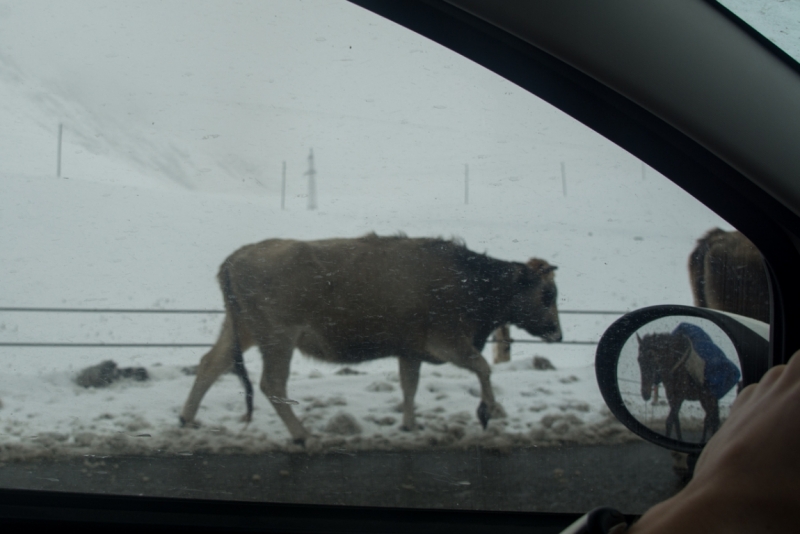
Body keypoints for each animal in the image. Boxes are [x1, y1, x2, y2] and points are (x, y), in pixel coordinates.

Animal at [180, 234, 564, 444]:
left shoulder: (411, 349)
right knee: (271, 384)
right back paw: (302, 435)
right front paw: (485, 412)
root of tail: (236, 257)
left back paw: (187, 419)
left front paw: (410, 425)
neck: (471, 280)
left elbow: (410, 385)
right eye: (547, 294)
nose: (558, 334)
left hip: (241, 329)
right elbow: (483, 367)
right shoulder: (448, 342)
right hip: (278, 339)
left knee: (210, 364)